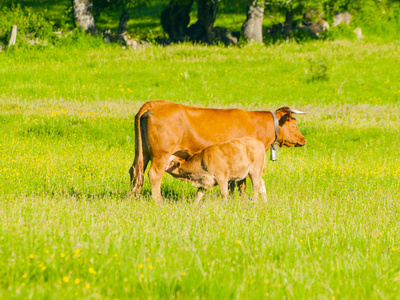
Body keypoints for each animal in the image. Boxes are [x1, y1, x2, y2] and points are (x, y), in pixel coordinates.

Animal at [130, 101, 304, 204]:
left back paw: (133, 197)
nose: (303, 140)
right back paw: (158, 202)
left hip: (142, 153)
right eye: (294, 124)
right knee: (154, 174)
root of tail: (156, 104)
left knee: (135, 171)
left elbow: (233, 184)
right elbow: (242, 184)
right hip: (161, 155)